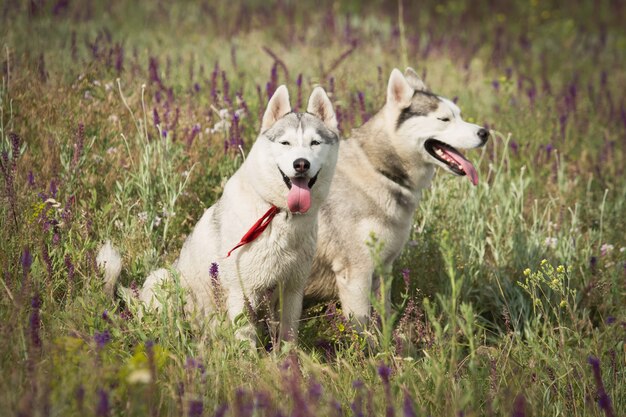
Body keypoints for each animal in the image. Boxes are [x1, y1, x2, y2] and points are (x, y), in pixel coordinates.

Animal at [98, 84, 338, 342]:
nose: (301, 164)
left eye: (315, 143)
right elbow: (245, 338)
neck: (278, 214)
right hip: (163, 279)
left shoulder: (292, 289)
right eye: (285, 143)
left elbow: (288, 337)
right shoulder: (243, 291)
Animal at [304, 66, 488, 324]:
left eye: (460, 115)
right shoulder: (356, 274)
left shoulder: (383, 269)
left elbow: (386, 318)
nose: (485, 133)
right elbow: (362, 328)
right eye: (444, 119)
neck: (380, 170)